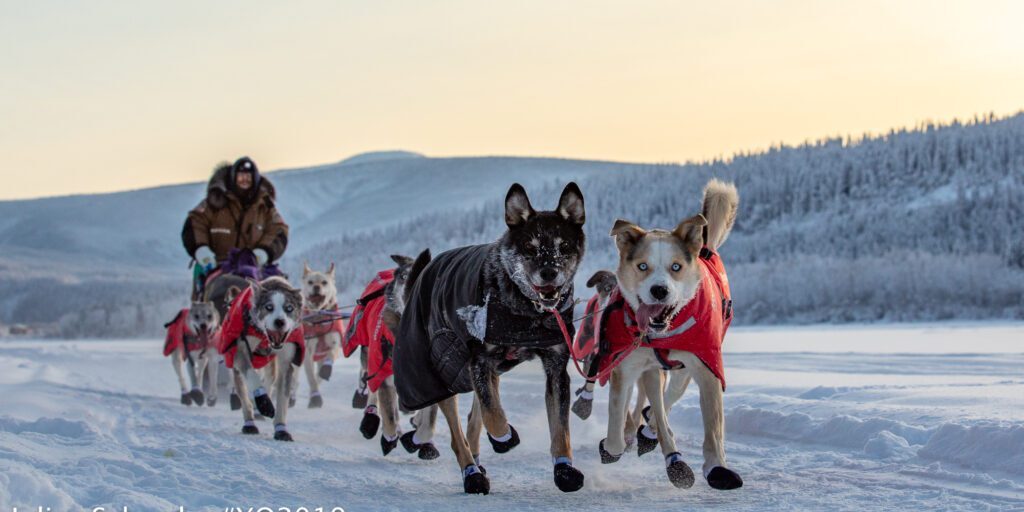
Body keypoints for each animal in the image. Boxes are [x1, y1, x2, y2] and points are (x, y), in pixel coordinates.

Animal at [391, 182, 585, 493]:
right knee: (460, 432)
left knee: (476, 415)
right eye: (529, 247)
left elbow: (560, 427)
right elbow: (494, 415)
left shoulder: (555, 367)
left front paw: (564, 470)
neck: (525, 311)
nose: (549, 273)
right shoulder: (480, 360)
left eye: (563, 247)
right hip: (442, 370)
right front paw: (504, 437)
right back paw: (472, 473)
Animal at [598, 178, 741, 489]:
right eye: (642, 266)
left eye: (676, 267)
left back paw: (652, 433)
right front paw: (614, 446)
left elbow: (713, 427)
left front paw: (717, 467)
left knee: (669, 398)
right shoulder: (627, 366)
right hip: (652, 371)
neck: (664, 333)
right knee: (657, 406)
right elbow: (616, 422)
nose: (659, 290)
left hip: (684, 368)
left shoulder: (707, 367)